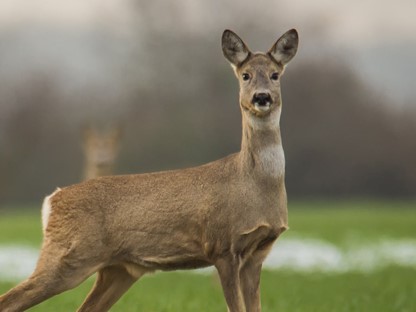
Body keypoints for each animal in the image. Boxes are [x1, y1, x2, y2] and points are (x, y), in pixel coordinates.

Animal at [0, 28, 300, 310]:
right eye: (245, 75)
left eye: (275, 75)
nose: (262, 97)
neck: (253, 183)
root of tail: (51, 200)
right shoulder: (222, 246)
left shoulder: (258, 252)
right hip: (69, 255)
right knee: (10, 300)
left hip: (117, 269)